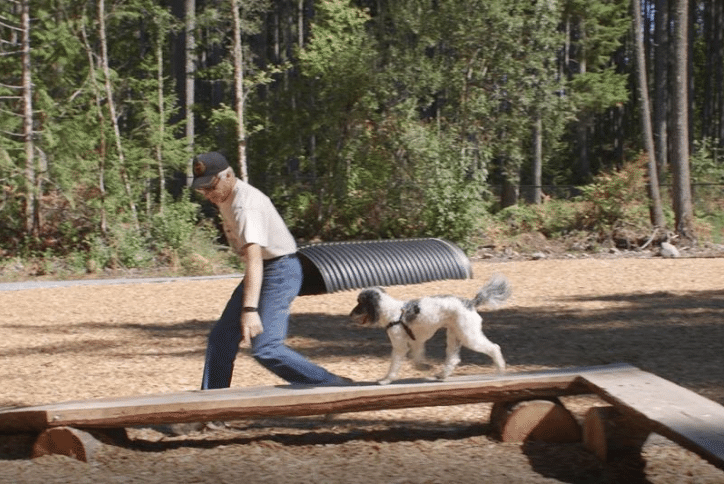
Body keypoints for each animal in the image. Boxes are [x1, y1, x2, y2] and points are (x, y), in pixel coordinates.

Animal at [350, 274, 510, 384]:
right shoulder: (416, 342)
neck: (392, 312)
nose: (350, 314)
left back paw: (500, 370)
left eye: (360, 302)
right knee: (453, 359)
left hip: (468, 336)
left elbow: (394, 365)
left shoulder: (400, 346)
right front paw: (424, 367)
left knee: (494, 348)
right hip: (454, 335)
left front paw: (386, 379)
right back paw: (442, 375)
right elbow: (417, 358)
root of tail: (471, 303)